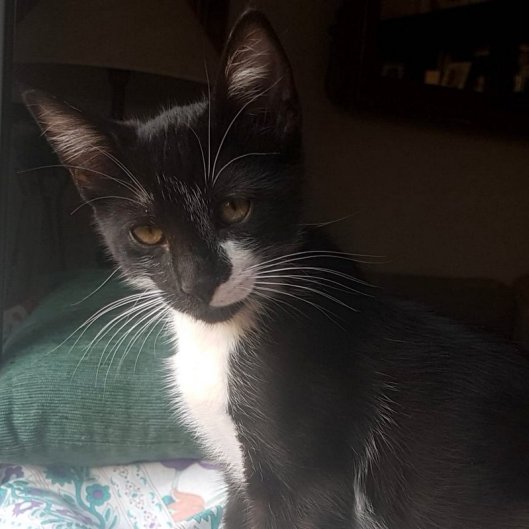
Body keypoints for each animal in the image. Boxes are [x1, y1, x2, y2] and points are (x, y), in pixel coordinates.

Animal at [24, 10, 529, 529]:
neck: (219, 341)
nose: (198, 281)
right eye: (147, 233)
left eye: (235, 207)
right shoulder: (238, 477)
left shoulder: (313, 485)